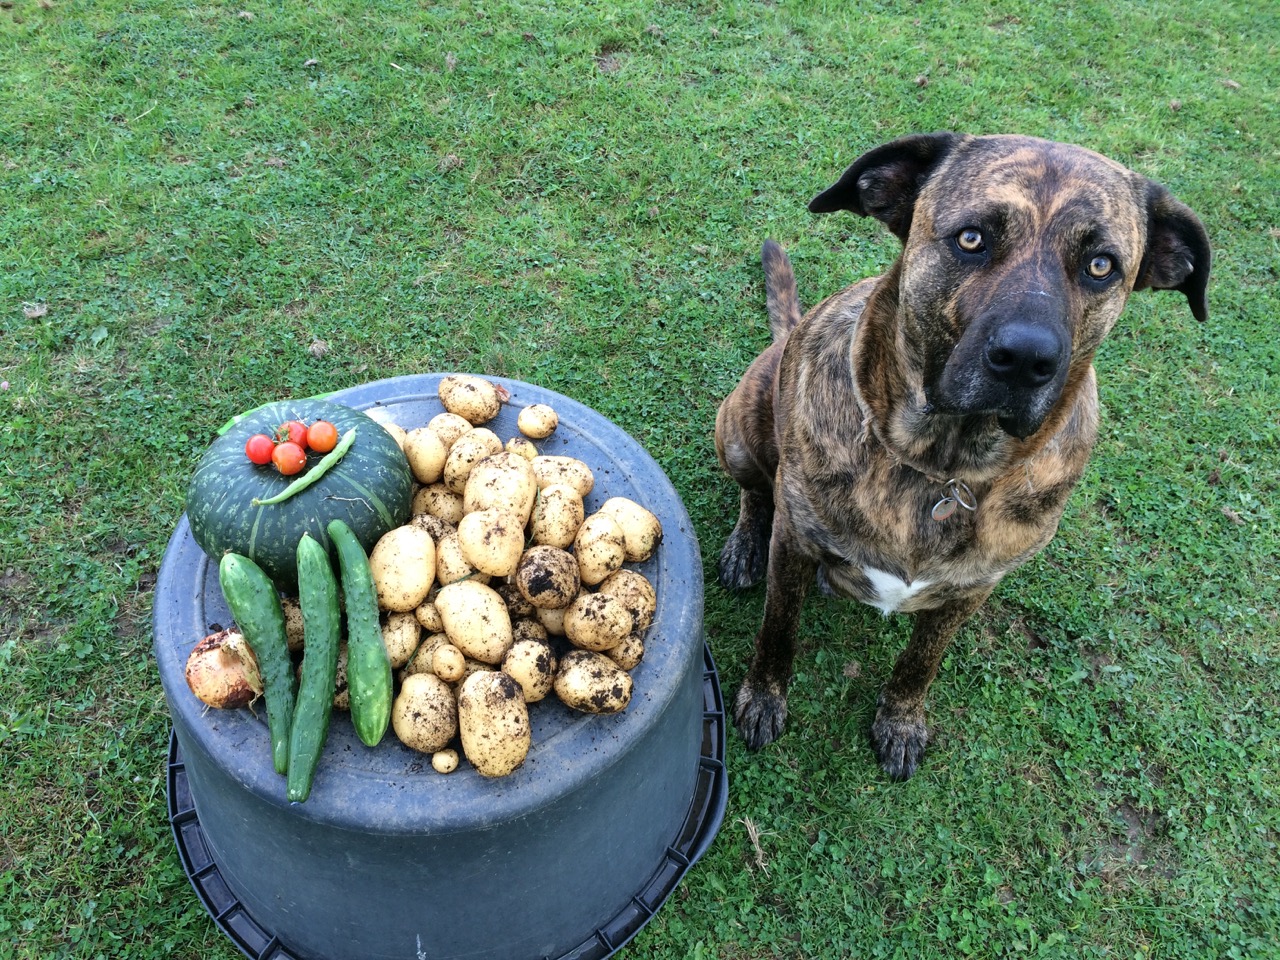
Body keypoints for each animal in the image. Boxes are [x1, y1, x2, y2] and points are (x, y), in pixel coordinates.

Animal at [721, 133, 1208, 783]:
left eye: (1101, 265)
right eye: (972, 238)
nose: (1026, 358)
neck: (943, 464)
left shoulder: (971, 589)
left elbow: (920, 663)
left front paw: (901, 721)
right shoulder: (795, 544)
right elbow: (778, 630)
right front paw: (764, 697)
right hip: (739, 428)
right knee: (756, 493)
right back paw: (744, 546)